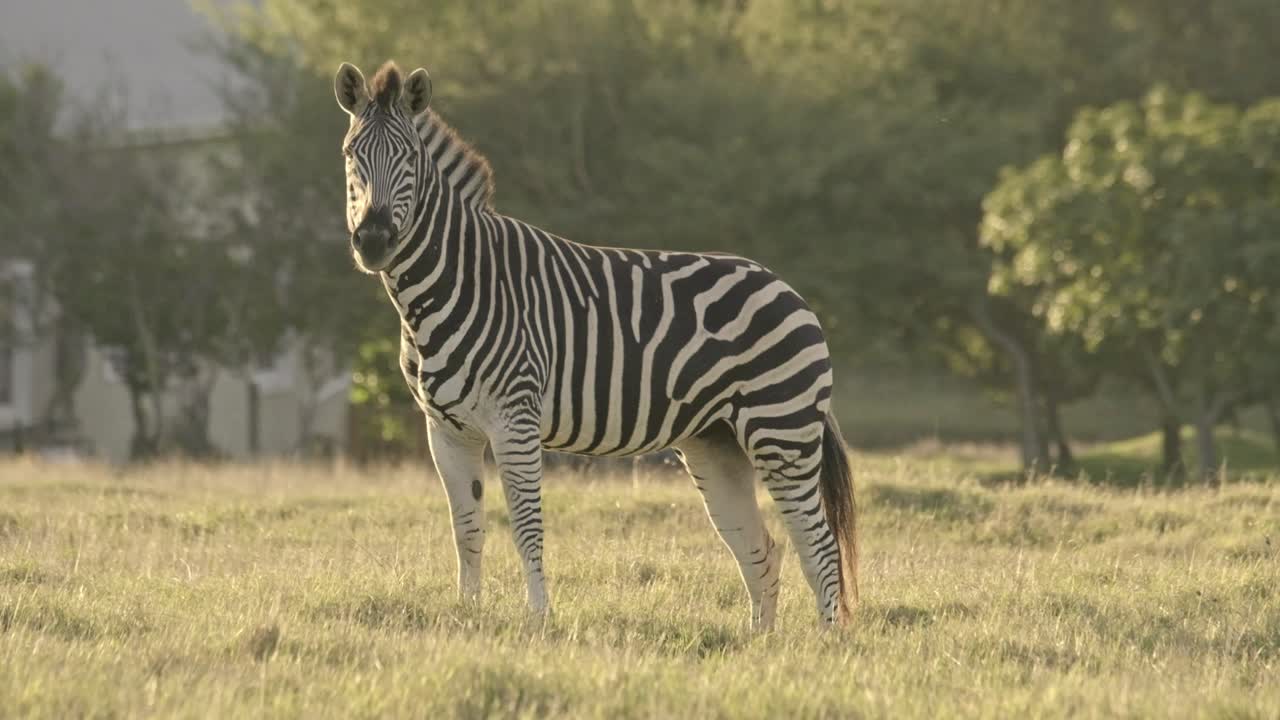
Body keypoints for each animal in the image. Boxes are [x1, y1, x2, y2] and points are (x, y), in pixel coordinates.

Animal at [334, 61, 858, 630]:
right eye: (350, 154)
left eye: (409, 157)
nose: (374, 241)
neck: (456, 284)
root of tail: (785, 287)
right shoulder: (446, 431)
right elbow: (467, 530)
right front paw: (467, 614)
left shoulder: (515, 420)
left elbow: (526, 525)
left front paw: (539, 619)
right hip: (715, 442)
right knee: (761, 547)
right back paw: (761, 641)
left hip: (781, 430)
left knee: (819, 544)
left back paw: (827, 640)